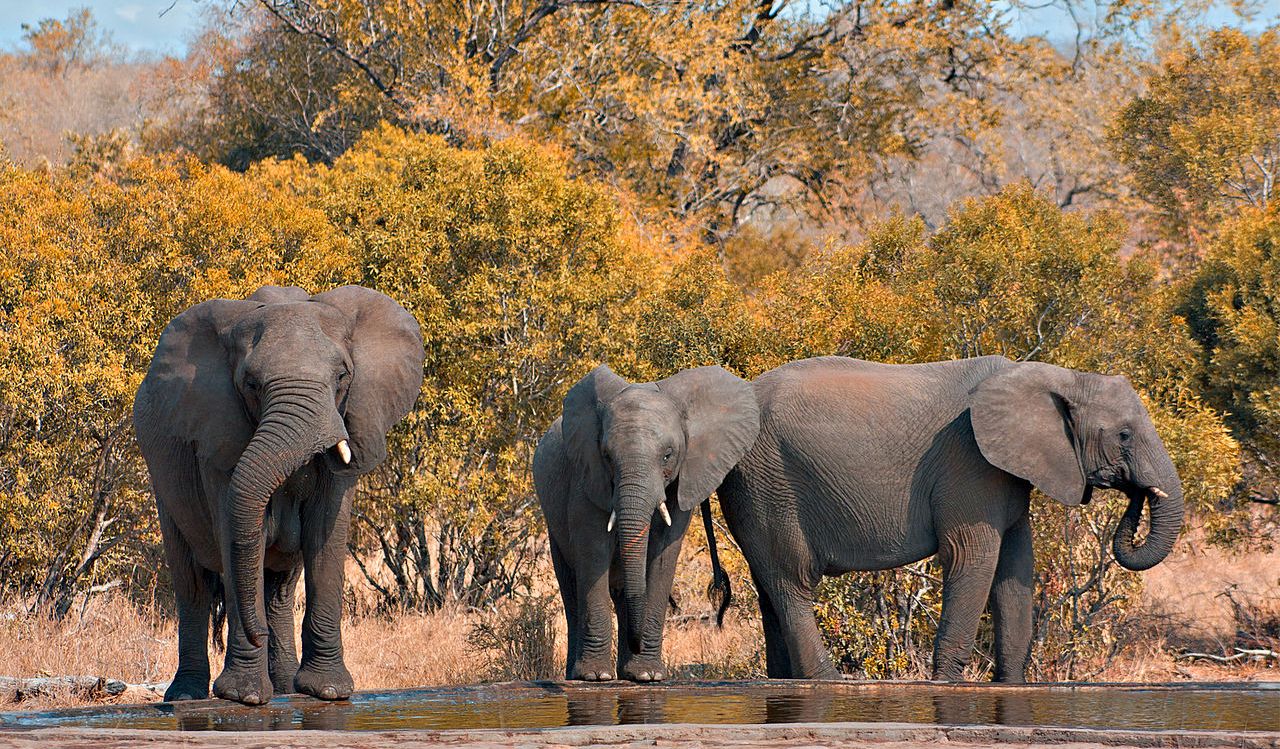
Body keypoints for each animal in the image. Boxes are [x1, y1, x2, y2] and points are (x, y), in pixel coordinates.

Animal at [135, 282, 424, 701]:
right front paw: (245, 696)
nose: (257, 635)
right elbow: (238, 538)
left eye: (342, 375)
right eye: (251, 384)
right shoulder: (218, 437)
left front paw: (328, 691)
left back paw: (287, 687)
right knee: (193, 584)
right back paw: (187, 696)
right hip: (162, 481)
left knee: (281, 588)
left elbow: (327, 537)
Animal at [532, 366, 757, 681]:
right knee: (571, 586)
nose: (636, 643)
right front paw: (596, 677)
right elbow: (593, 550)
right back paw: (577, 675)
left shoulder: (681, 480)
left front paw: (647, 675)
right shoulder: (586, 477)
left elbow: (663, 555)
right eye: (606, 456)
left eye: (668, 455)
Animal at [716, 353, 1182, 681]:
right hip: (768, 484)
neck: (1058, 377)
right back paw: (828, 682)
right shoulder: (971, 464)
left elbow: (1016, 568)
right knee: (792, 580)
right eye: (1124, 435)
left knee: (769, 587)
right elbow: (970, 558)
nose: (1137, 495)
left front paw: (1010, 685)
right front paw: (946, 684)